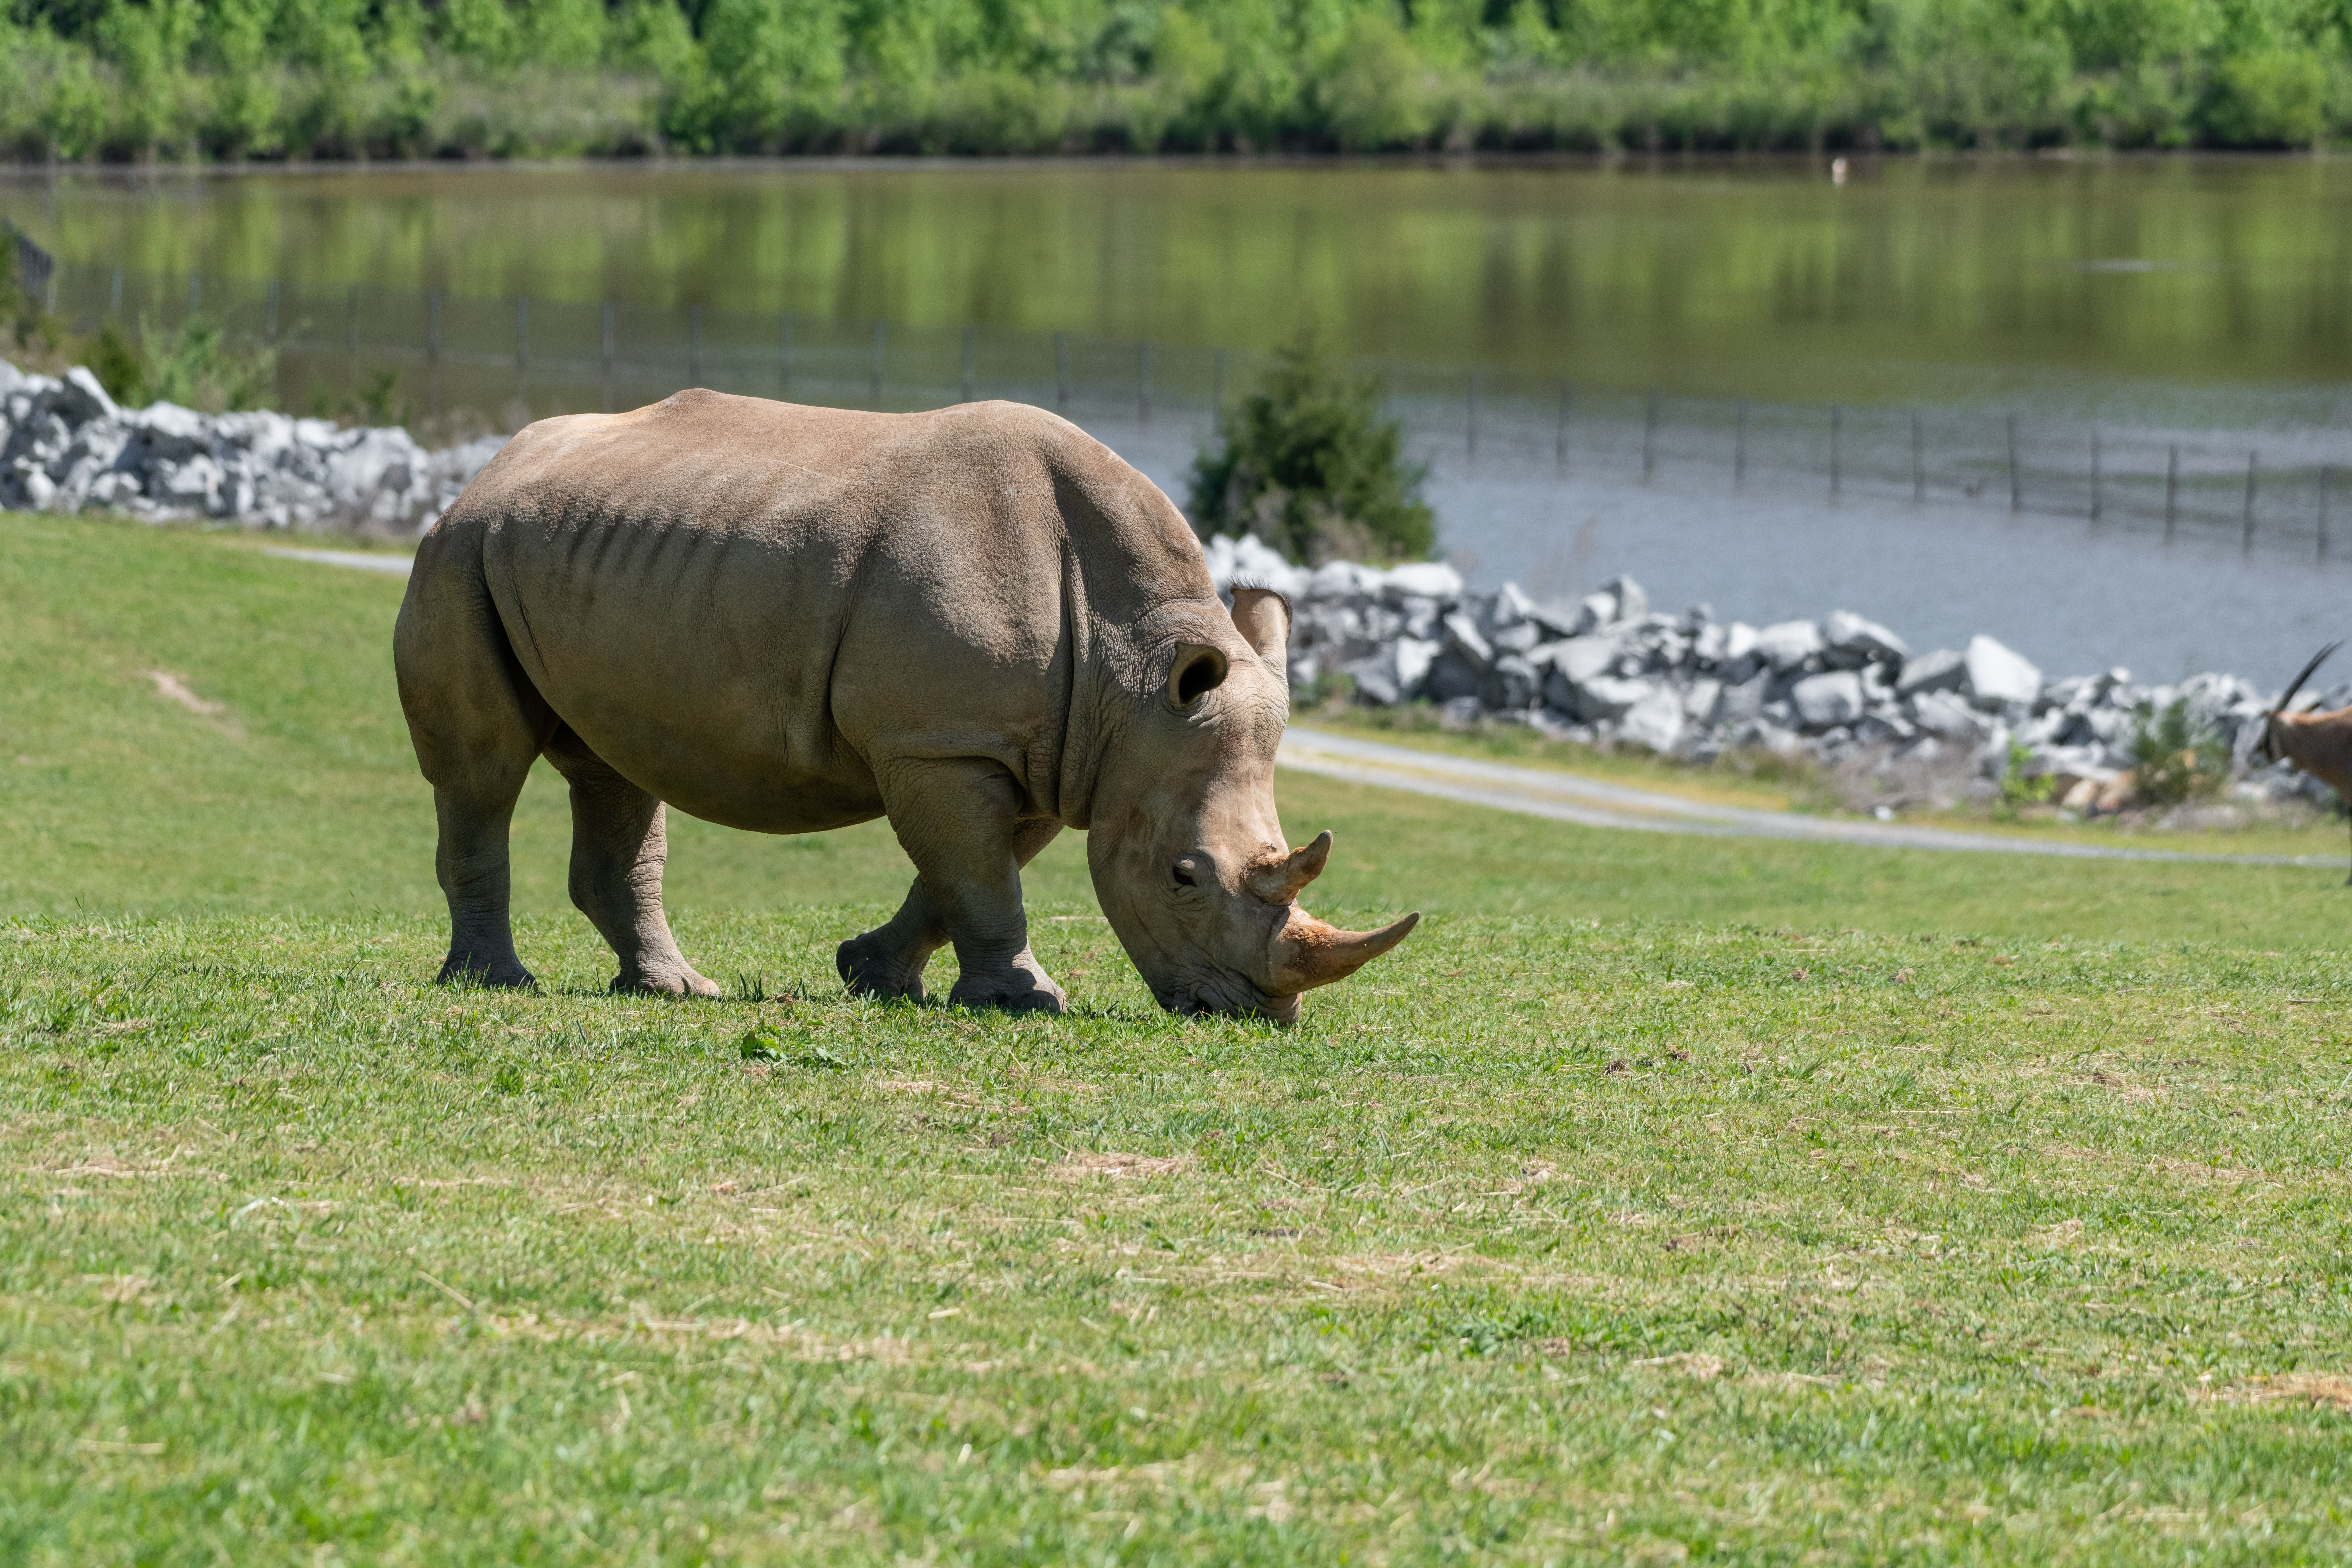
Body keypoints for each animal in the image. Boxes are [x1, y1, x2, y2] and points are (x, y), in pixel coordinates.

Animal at [392, 391, 1417, 1022]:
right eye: (1183, 877)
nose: (1251, 1014)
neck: (1131, 677)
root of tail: (484, 470)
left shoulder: (1049, 751)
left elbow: (969, 873)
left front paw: (873, 976)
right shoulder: (944, 742)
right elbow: (981, 876)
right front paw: (1027, 1002)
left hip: (583, 555)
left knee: (616, 769)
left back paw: (676, 991)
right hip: (460, 555)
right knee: (483, 772)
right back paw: (497, 983)